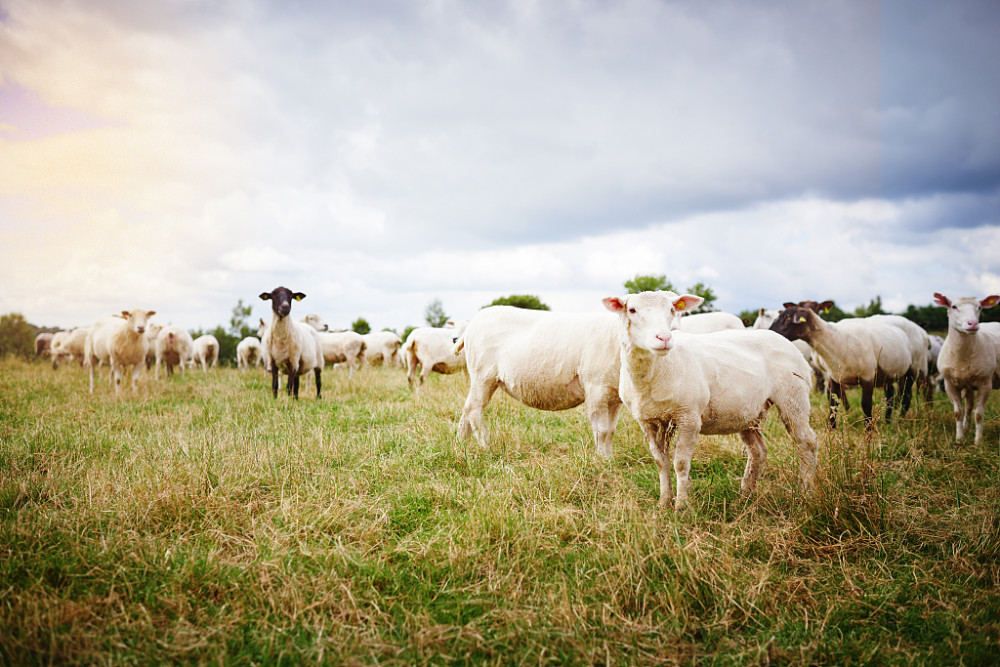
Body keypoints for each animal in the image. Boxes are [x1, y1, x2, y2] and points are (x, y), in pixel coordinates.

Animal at [456, 306, 624, 460]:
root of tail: (471, 325)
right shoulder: (596, 388)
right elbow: (601, 431)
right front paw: (601, 460)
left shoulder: (613, 397)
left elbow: (610, 431)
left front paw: (608, 459)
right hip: (483, 375)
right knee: (473, 408)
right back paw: (486, 445)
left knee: (466, 411)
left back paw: (460, 445)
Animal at [604, 290, 816, 508]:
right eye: (632, 310)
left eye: (671, 309)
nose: (664, 338)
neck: (657, 371)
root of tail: (786, 342)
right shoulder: (647, 421)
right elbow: (660, 462)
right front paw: (664, 502)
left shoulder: (689, 418)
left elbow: (680, 463)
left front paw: (681, 506)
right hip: (748, 412)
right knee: (758, 450)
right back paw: (747, 493)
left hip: (793, 396)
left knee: (806, 442)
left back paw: (806, 492)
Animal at [768, 302, 916, 428]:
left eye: (787, 317)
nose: (769, 331)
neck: (837, 341)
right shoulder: (834, 377)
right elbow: (833, 404)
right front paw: (831, 430)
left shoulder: (867, 376)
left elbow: (866, 405)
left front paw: (868, 431)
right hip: (887, 374)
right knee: (891, 395)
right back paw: (888, 421)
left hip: (913, 369)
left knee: (906, 398)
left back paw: (900, 421)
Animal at [928, 290, 1000, 444]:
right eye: (954, 306)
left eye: (979, 307)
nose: (972, 324)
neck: (962, 356)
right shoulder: (950, 384)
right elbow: (958, 412)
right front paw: (960, 439)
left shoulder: (985, 383)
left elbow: (979, 414)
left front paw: (978, 442)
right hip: (967, 384)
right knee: (968, 406)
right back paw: (966, 428)